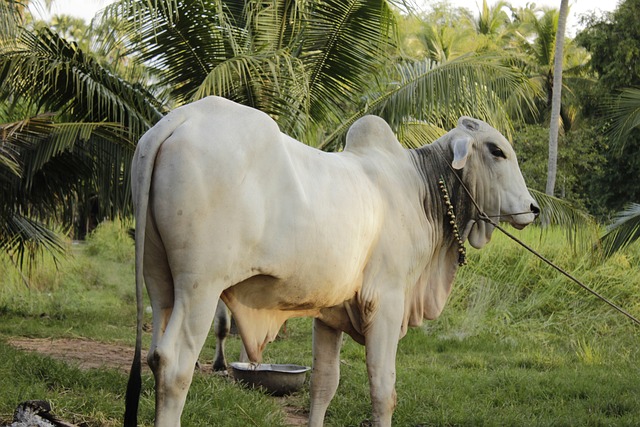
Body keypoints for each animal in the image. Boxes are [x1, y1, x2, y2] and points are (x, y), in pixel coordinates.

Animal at [124, 97, 540, 427]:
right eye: (497, 150)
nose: (532, 208)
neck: (422, 189)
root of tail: (180, 119)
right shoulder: (386, 304)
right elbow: (383, 391)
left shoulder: (329, 314)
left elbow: (323, 386)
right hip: (201, 286)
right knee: (175, 365)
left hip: (160, 281)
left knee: (155, 355)